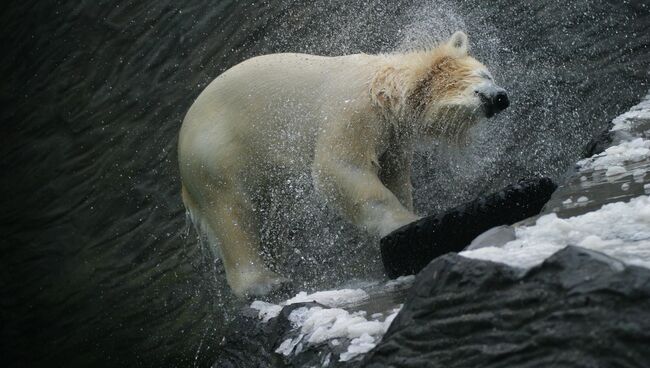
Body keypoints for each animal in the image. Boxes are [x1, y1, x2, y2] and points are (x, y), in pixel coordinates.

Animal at [177, 31, 506, 296]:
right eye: (485, 77)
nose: (502, 97)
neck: (386, 89)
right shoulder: (352, 110)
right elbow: (338, 170)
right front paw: (405, 221)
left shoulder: (393, 137)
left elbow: (394, 175)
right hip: (216, 155)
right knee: (233, 214)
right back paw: (264, 283)